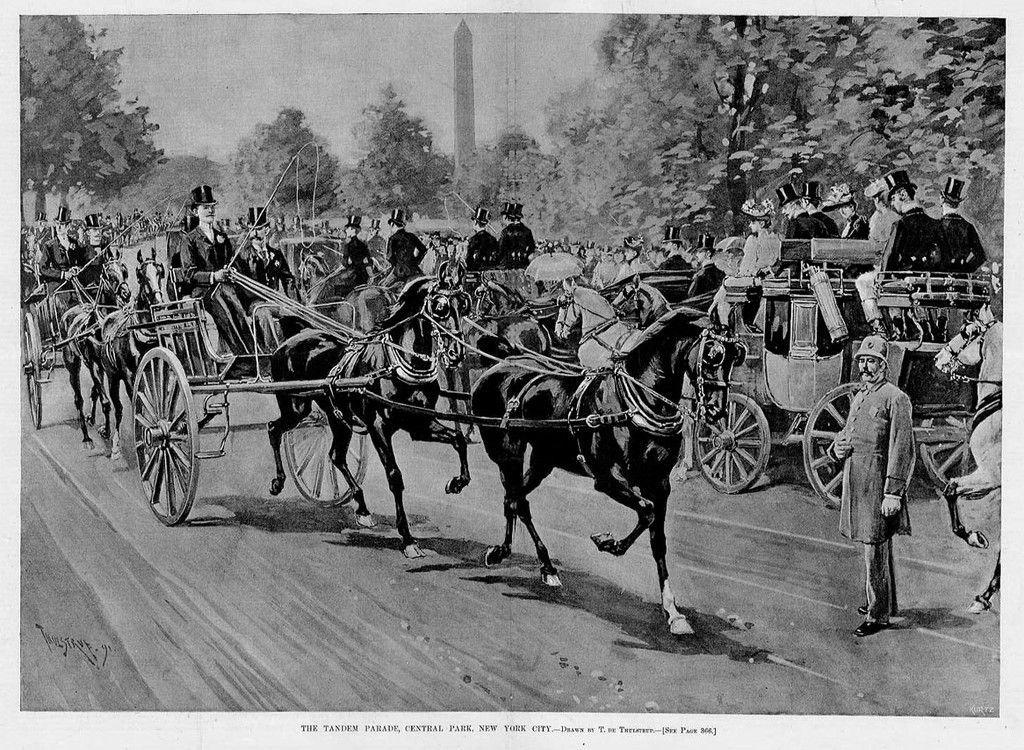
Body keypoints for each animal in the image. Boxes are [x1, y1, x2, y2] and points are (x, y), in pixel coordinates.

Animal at [96, 248, 168, 459]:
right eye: (141, 275)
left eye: (160, 272)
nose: (158, 302)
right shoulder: (130, 376)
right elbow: (139, 407)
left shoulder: (154, 370)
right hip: (112, 377)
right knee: (117, 407)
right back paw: (115, 443)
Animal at [264, 270, 471, 557]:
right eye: (440, 307)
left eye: (464, 305)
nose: (456, 353)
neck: (395, 366)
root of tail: (294, 337)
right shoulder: (379, 427)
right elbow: (394, 476)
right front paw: (408, 538)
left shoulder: (421, 424)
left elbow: (459, 440)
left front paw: (457, 482)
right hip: (296, 408)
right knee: (274, 429)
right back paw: (278, 482)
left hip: (338, 418)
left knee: (336, 455)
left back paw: (362, 508)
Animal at [468, 284, 745, 635]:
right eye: (713, 355)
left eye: (736, 356)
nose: (716, 410)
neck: (632, 404)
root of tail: (498, 367)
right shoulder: (608, 479)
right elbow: (646, 512)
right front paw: (607, 543)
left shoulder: (659, 484)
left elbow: (658, 538)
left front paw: (673, 611)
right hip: (507, 452)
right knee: (516, 500)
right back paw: (504, 552)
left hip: (543, 459)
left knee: (516, 500)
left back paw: (544, 565)